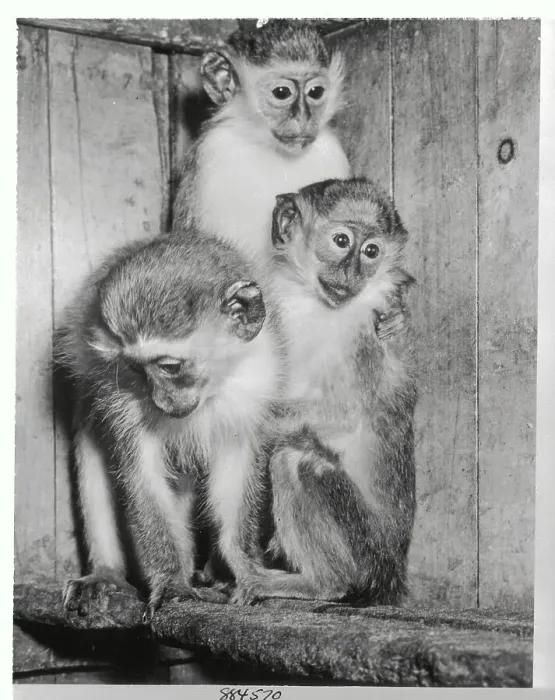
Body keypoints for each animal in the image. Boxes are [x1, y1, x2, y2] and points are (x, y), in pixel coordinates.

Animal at [54, 231, 284, 621]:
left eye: (170, 367)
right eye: (135, 369)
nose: (160, 401)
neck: (211, 388)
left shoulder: (256, 381)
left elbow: (235, 471)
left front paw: (243, 568)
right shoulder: (121, 396)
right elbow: (142, 477)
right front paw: (172, 583)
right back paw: (107, 573)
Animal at [231, 178, 417, 606]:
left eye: (371, 251)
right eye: (341, 241)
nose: (351, 272)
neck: (313, 303)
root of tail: (394, 573)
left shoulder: (365, 328)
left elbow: (345, 414)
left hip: (368, 553)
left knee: (297, 460)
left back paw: (321, 584)